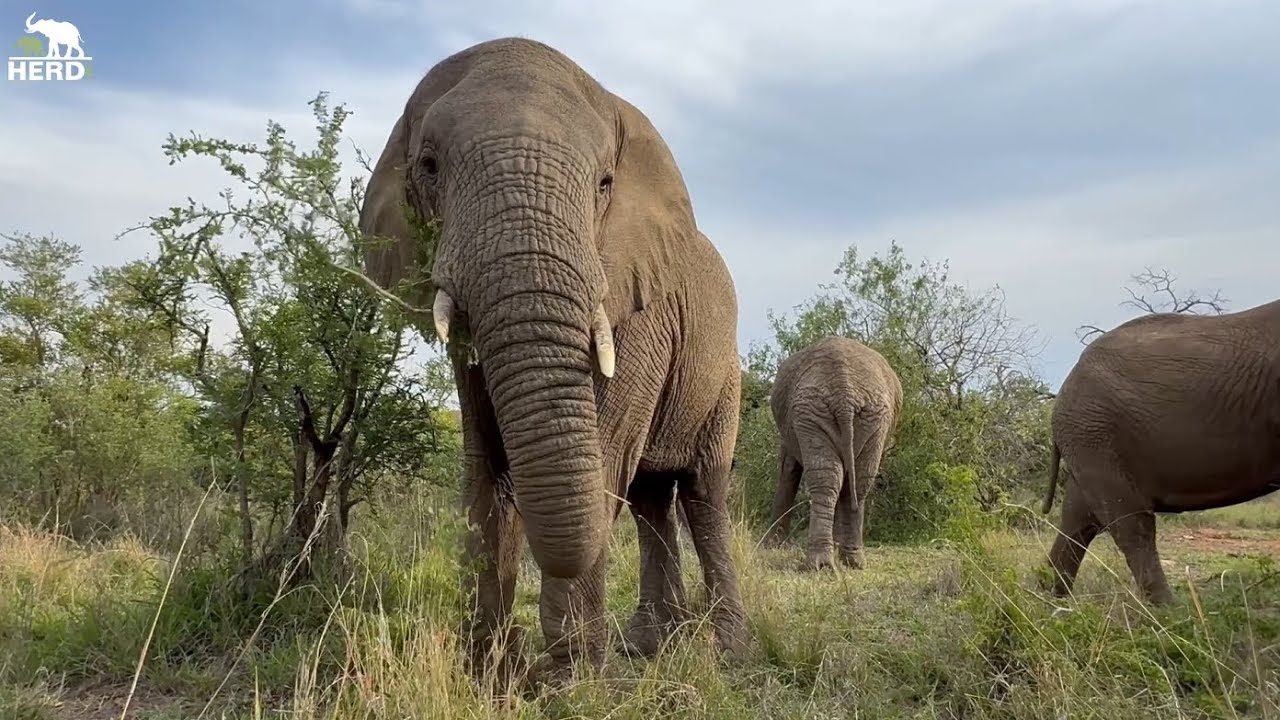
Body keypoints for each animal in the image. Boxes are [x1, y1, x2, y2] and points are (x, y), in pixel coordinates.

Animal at [358, 37, 747, 683]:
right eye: (429, 167)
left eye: (605, 183)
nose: (522, 661)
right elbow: (488, 467)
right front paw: (490, 675)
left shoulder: (637, 306)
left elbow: (604, 459)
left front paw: (570, 684)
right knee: (648, 500)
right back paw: (649, 645)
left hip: (724, 377)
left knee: (701, 494)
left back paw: (729, 653)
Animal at [765, 336, 902, 570]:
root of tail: (845, 392)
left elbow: (788, 466)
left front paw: (771, 546)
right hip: (848, 414)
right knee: (856, 479)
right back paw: (849, 561)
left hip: (827, 411)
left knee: (834, 477)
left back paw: (826, 563)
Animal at [1041, 299, 1280, 605]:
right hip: (1096, 435)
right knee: (1131, 523)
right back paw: (1171, 611)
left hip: (1090, 437)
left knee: (1079, 519)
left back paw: (1048, 598)